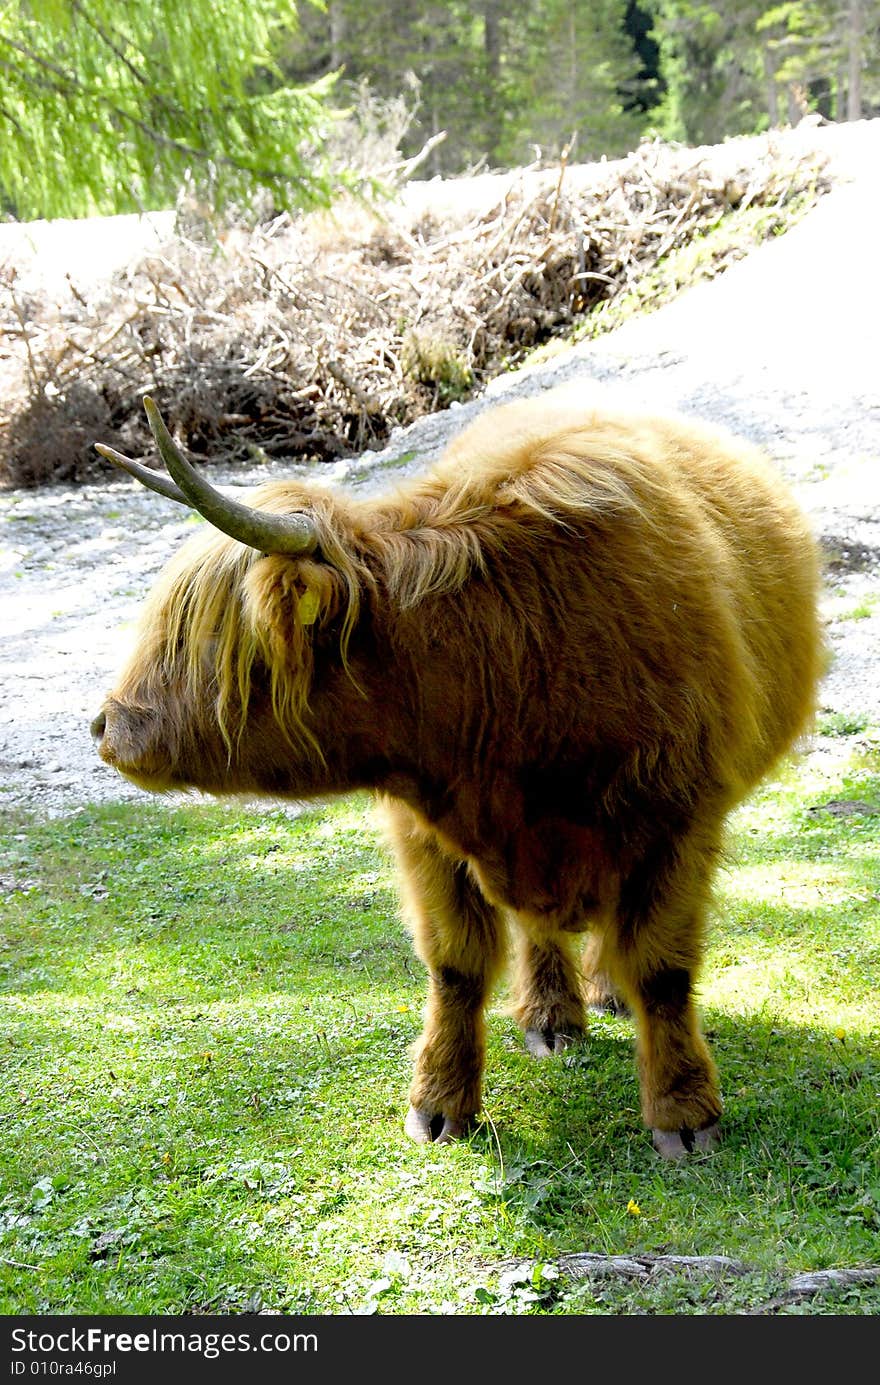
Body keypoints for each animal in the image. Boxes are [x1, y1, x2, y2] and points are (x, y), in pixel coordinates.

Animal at [92, 387, 820, 1157]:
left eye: (204, 639)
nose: (107, 725)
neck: (506, 658)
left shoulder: (679, 820)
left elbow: (661, 969)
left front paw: (684, 1112)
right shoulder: (428, 833)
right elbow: (456, 966)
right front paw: (440, 1103)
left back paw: (603, 993)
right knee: (540, 930)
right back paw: (553, 1016)